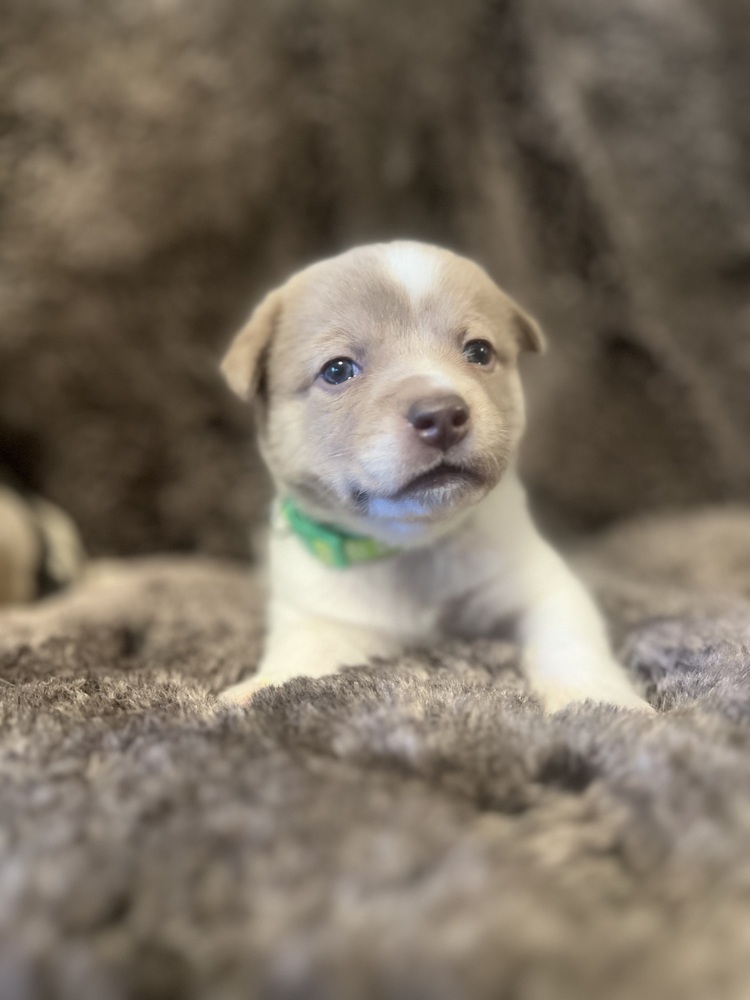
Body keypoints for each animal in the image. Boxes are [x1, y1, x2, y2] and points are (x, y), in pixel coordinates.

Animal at [217, 241, 652, 712]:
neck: (415, 544)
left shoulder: (542, 585)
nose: (442, 416)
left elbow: (570, 642)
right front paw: (258, 688)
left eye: (479, 352)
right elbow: (301, 652)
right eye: (337, 370)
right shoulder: (322, 613)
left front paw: (601, 699)